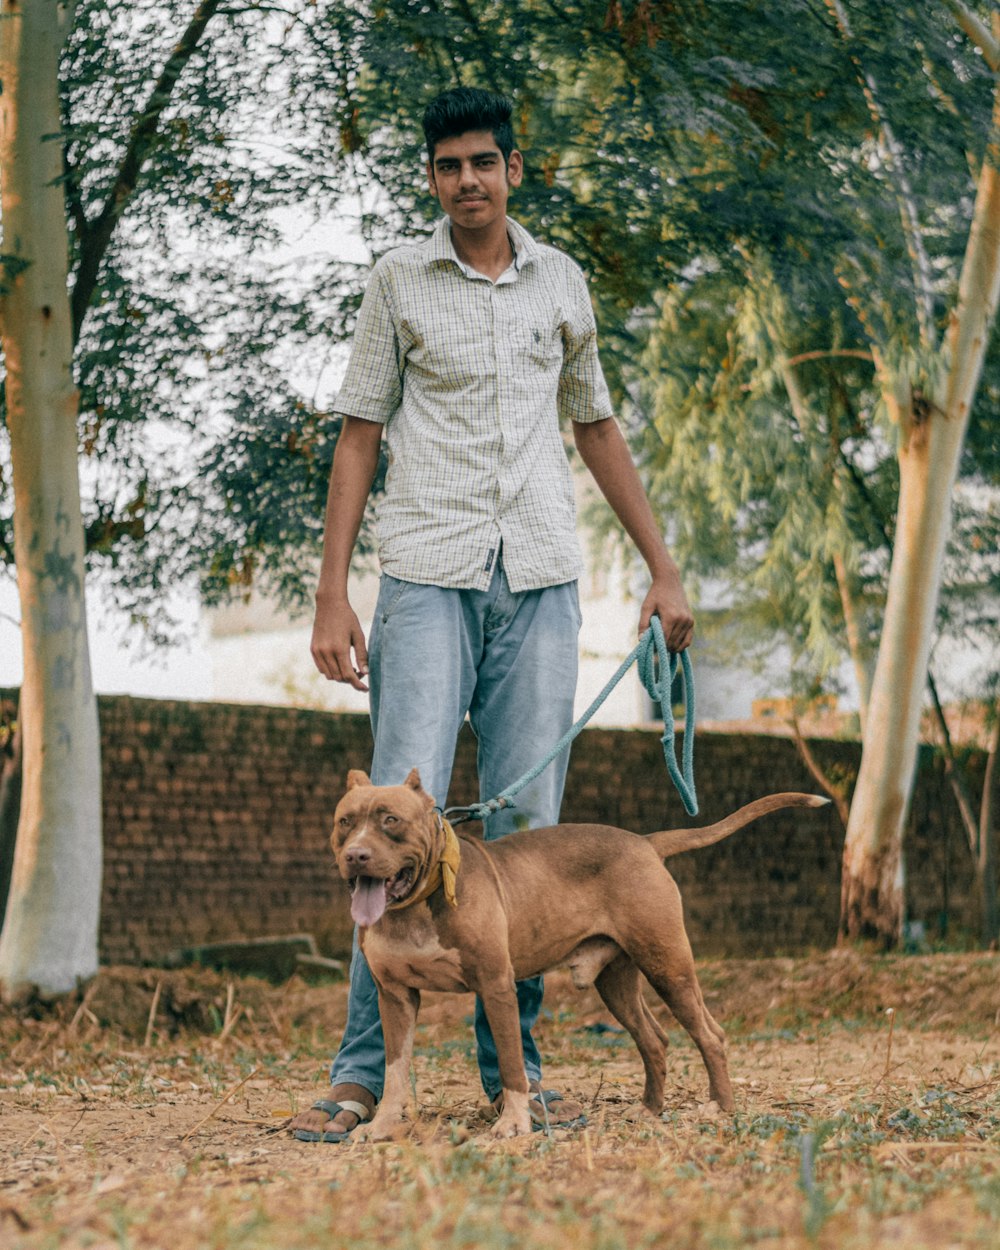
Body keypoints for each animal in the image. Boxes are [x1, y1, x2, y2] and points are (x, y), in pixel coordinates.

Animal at [332, 765, 825, 1140]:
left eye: (391, 821)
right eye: (344, 822)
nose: (356, 855)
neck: (415, 906)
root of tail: (646, 842)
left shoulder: (495, 986)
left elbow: (511, 1063)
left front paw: (514, 1123)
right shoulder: (395, 998)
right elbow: (395, 1069)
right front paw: (382, 1126)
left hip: (668, 965)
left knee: (710, 1034)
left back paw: (719, 1107)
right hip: (617, 981)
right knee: (654, 1039)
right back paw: (649, 1109)